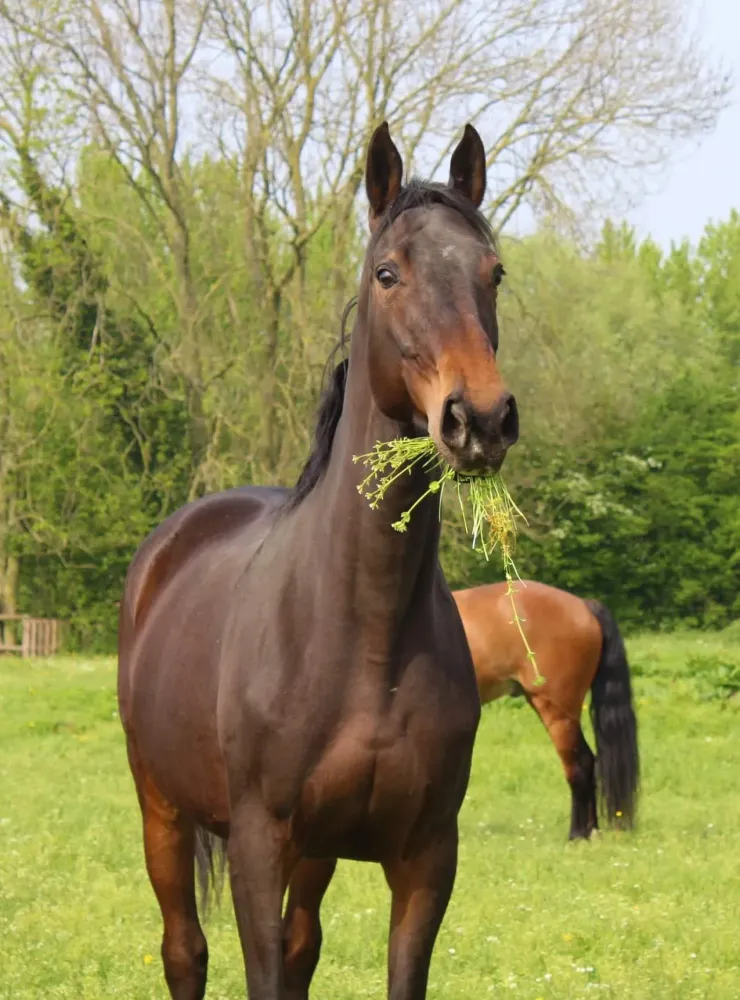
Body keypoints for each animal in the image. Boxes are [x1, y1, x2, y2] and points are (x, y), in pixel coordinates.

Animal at [117, 121, 520, 1000]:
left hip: (317, 852)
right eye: (388, 272)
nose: (479, 419)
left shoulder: (425, 859)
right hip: (162, 811)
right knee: (184, 951)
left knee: (301, 945)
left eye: (494, 273)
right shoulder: (259, 845)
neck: (363, 631)